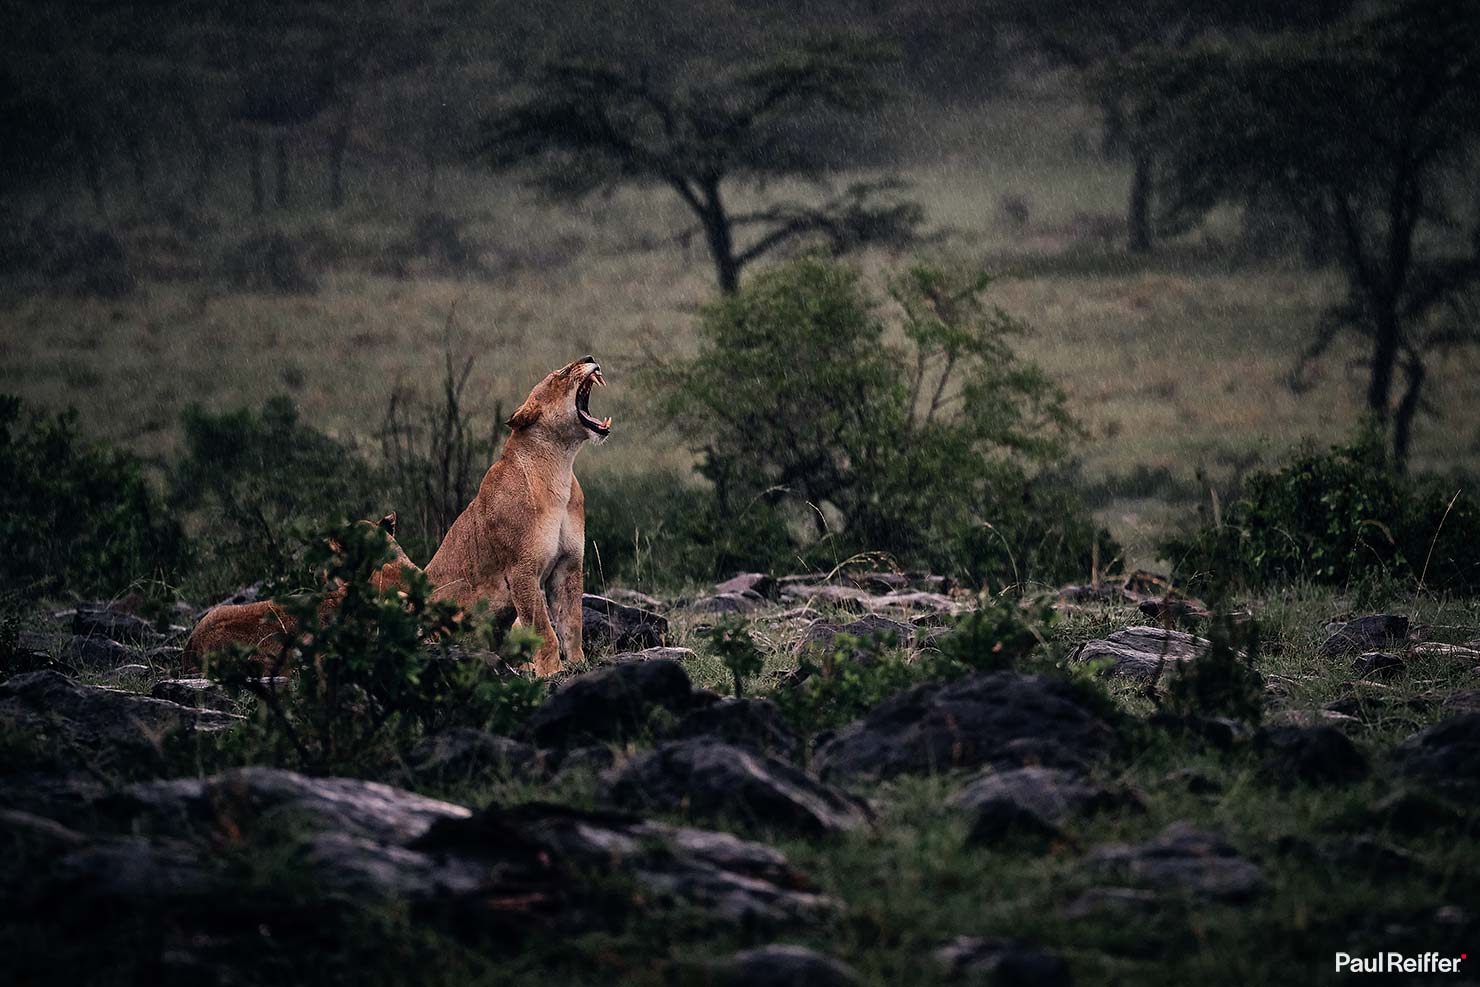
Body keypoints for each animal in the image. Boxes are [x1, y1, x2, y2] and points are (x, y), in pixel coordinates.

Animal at [424, 356, 610, 677]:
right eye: (561, 373)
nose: (589, 359)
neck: (560, 467)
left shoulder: (568, 564)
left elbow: (572, 622)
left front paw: (578, 665)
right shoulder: (521, 569)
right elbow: (543, 629)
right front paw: (551, 671)